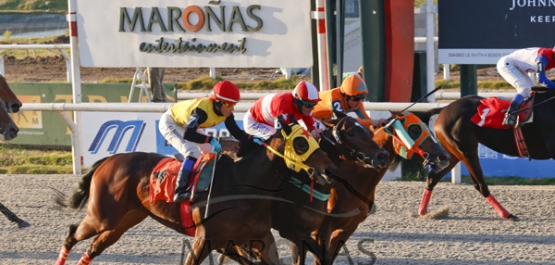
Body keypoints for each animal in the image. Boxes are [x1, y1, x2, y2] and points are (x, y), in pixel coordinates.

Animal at [54, 117, 336, 264]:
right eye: (300, 143)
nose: (329, 168)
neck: (242, 183)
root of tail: (110, 159)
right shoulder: (204, 239)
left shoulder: (261, 237)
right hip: (102, 216)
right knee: (71, 234)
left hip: (122, 221)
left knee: (93, 248)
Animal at [414, 87, 555, 220]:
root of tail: (445, 108)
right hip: (466, 150)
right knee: (480, 185)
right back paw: (507, 214)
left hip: (452, 153)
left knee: (433, 177)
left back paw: (423, 211)